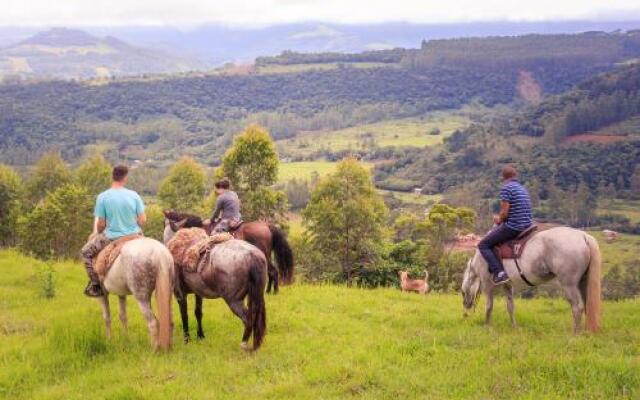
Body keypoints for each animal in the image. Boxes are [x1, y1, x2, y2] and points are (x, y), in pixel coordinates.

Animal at [462, 227, 604, 332]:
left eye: (463, 292)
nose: (466, 306)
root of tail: (583, 236)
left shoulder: (487, 284)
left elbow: (489, 306)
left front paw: (486, 326)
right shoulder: (507, 285)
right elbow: (510, 306)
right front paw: (514, 327)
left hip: (569, 285)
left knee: (577, 306)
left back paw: (574, 333)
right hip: (582, 282)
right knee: (586, 305)